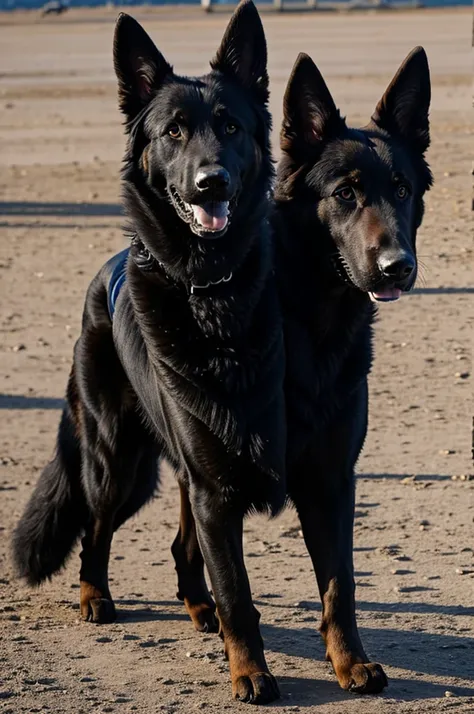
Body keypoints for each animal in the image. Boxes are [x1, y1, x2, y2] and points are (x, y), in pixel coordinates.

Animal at [12, 0, 286, 700]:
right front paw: (250, 670)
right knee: (94, 525)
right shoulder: (206, 473)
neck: (209, 288)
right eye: (173, 132)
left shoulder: (221, 465)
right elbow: (236, 587)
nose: (212, 182)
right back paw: (94, 595)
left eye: (230, 126)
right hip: (119, 461)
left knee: (179, 545)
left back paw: (196, 605)